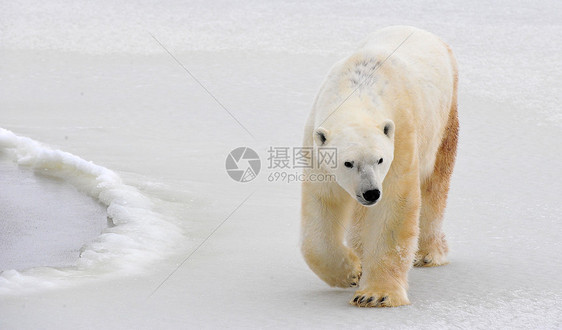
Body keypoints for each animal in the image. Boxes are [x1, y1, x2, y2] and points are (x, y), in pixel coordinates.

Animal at [300, 25, 458, 306]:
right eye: (348, 162)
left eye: (380, 159)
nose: (371, 192)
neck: (358, 89)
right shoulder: (316, 145)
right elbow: (323, 204)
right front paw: (351, 271)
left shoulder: (401, 134)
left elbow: (394, 206)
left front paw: (375, 295)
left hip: (443, 118)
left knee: (434, 184)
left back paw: (428, 253)